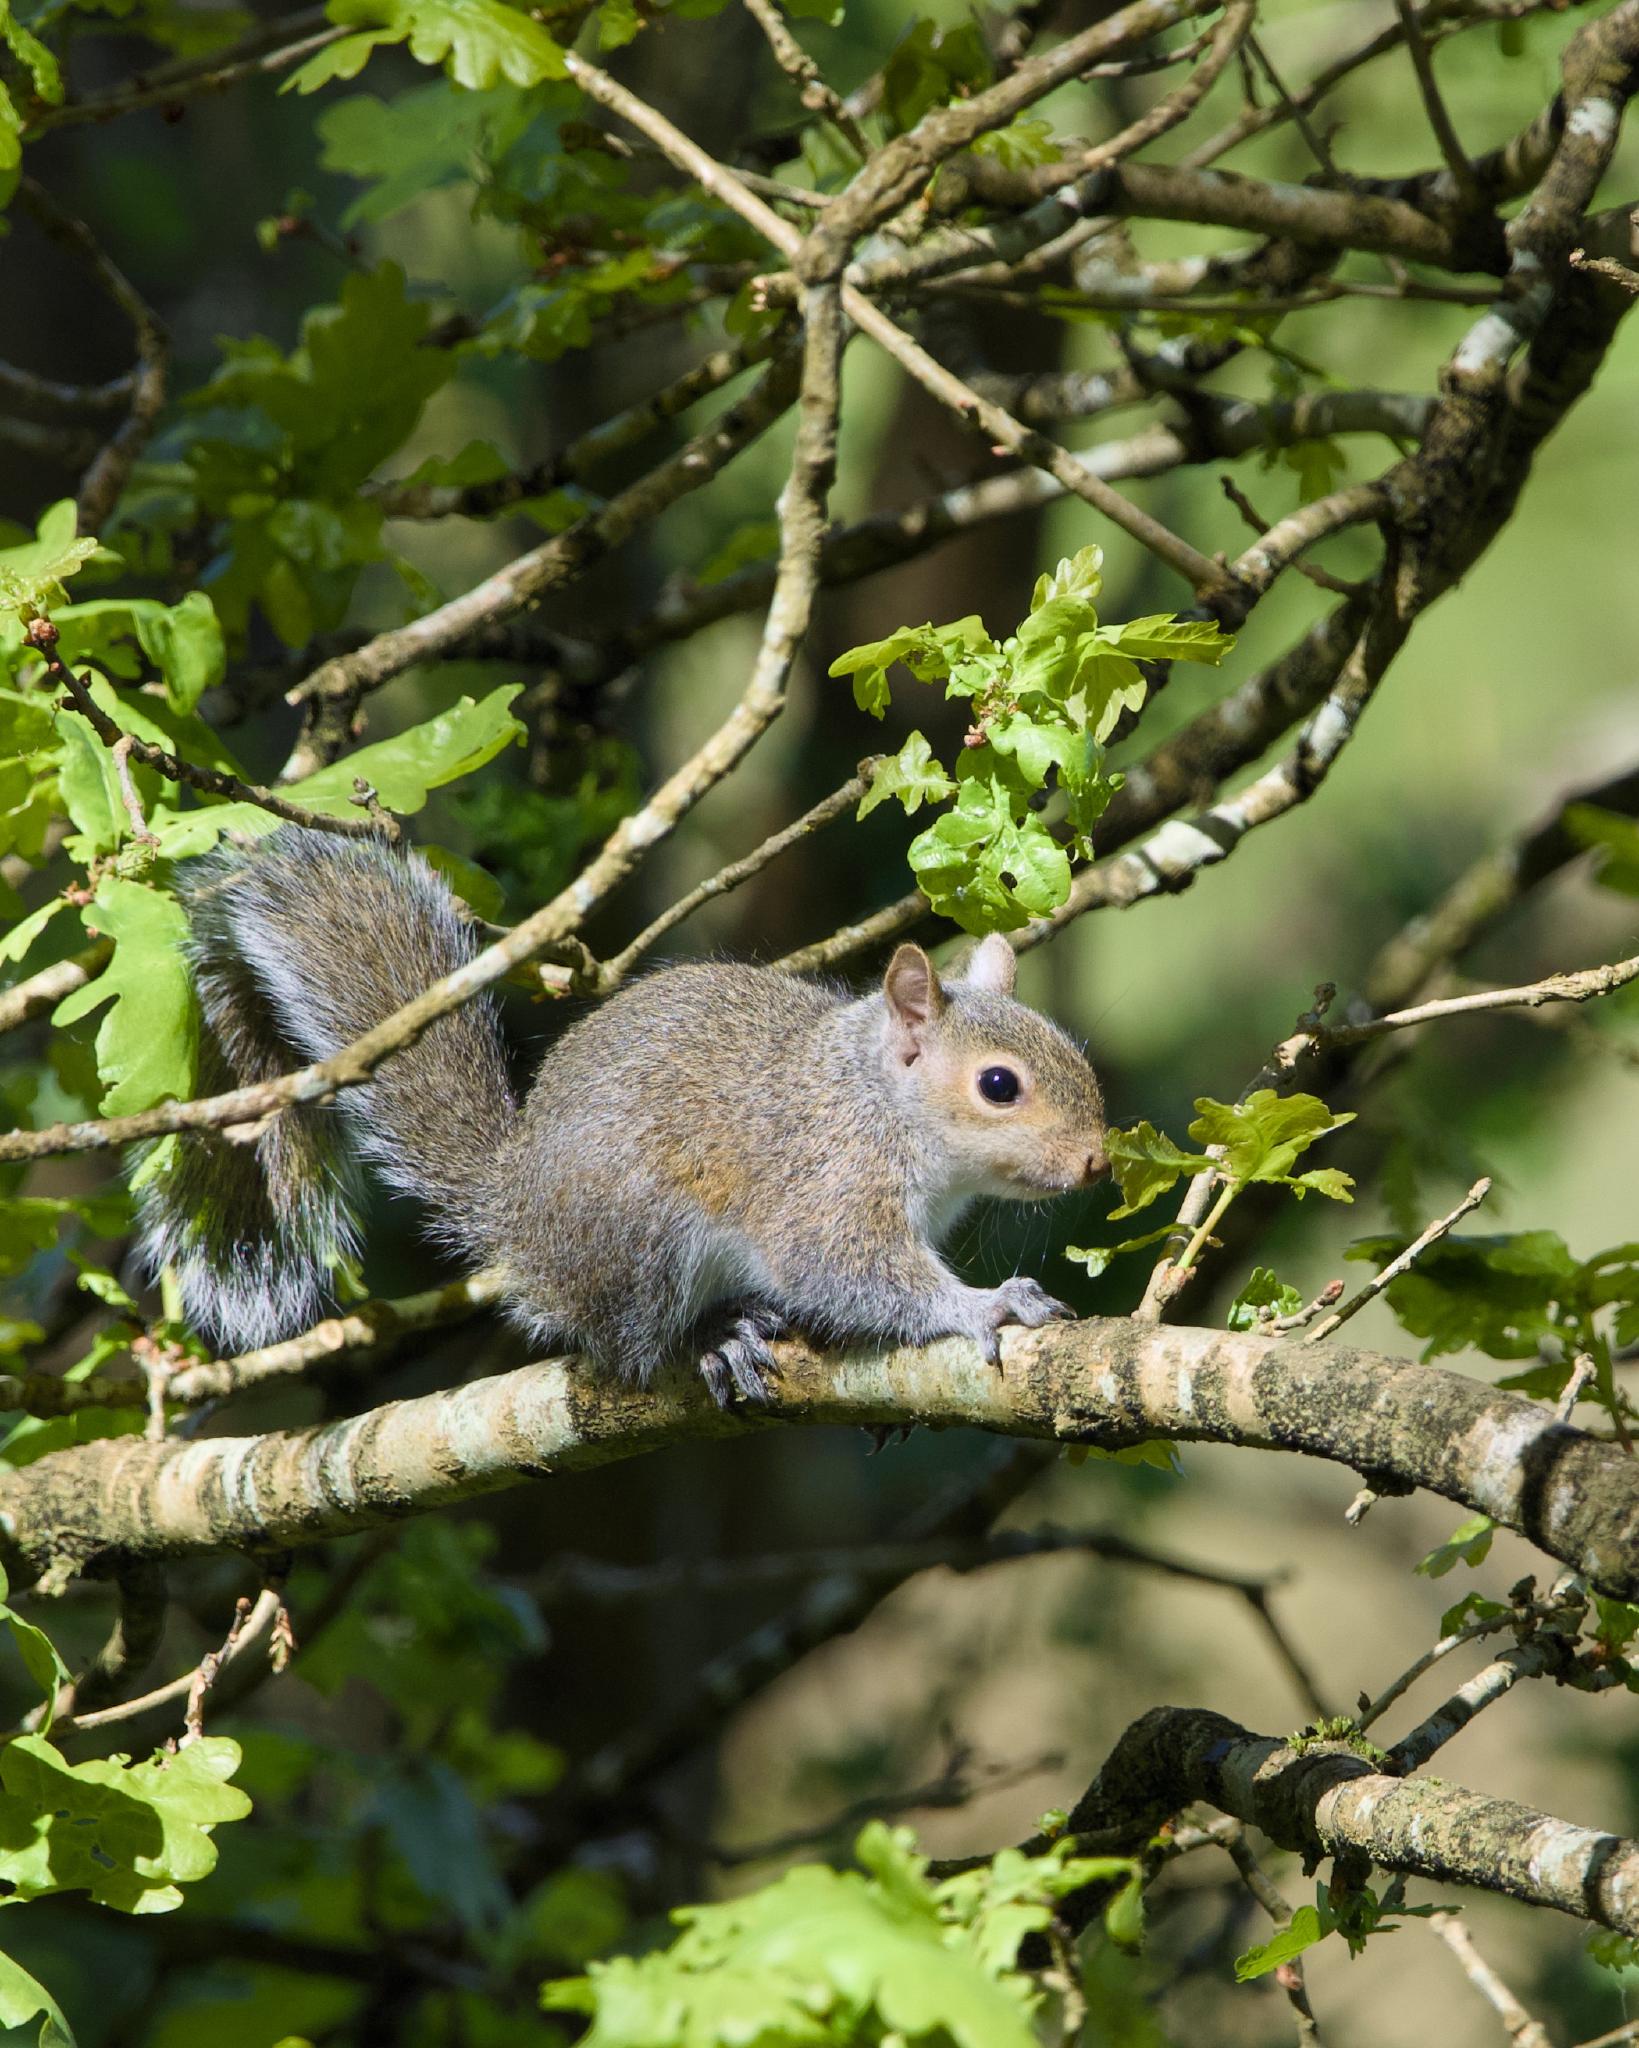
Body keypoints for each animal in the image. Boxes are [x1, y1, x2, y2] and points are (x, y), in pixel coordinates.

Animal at [140, 830, 1109, 1404]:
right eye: (997, 1086)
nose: (1096, 1163)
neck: (876, 1098)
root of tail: (515, 1212)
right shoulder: (825, 1180)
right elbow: (851, 1272)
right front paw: (985, 1305)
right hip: (643, 1237)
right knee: (630, 1346)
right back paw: (713, 1338)